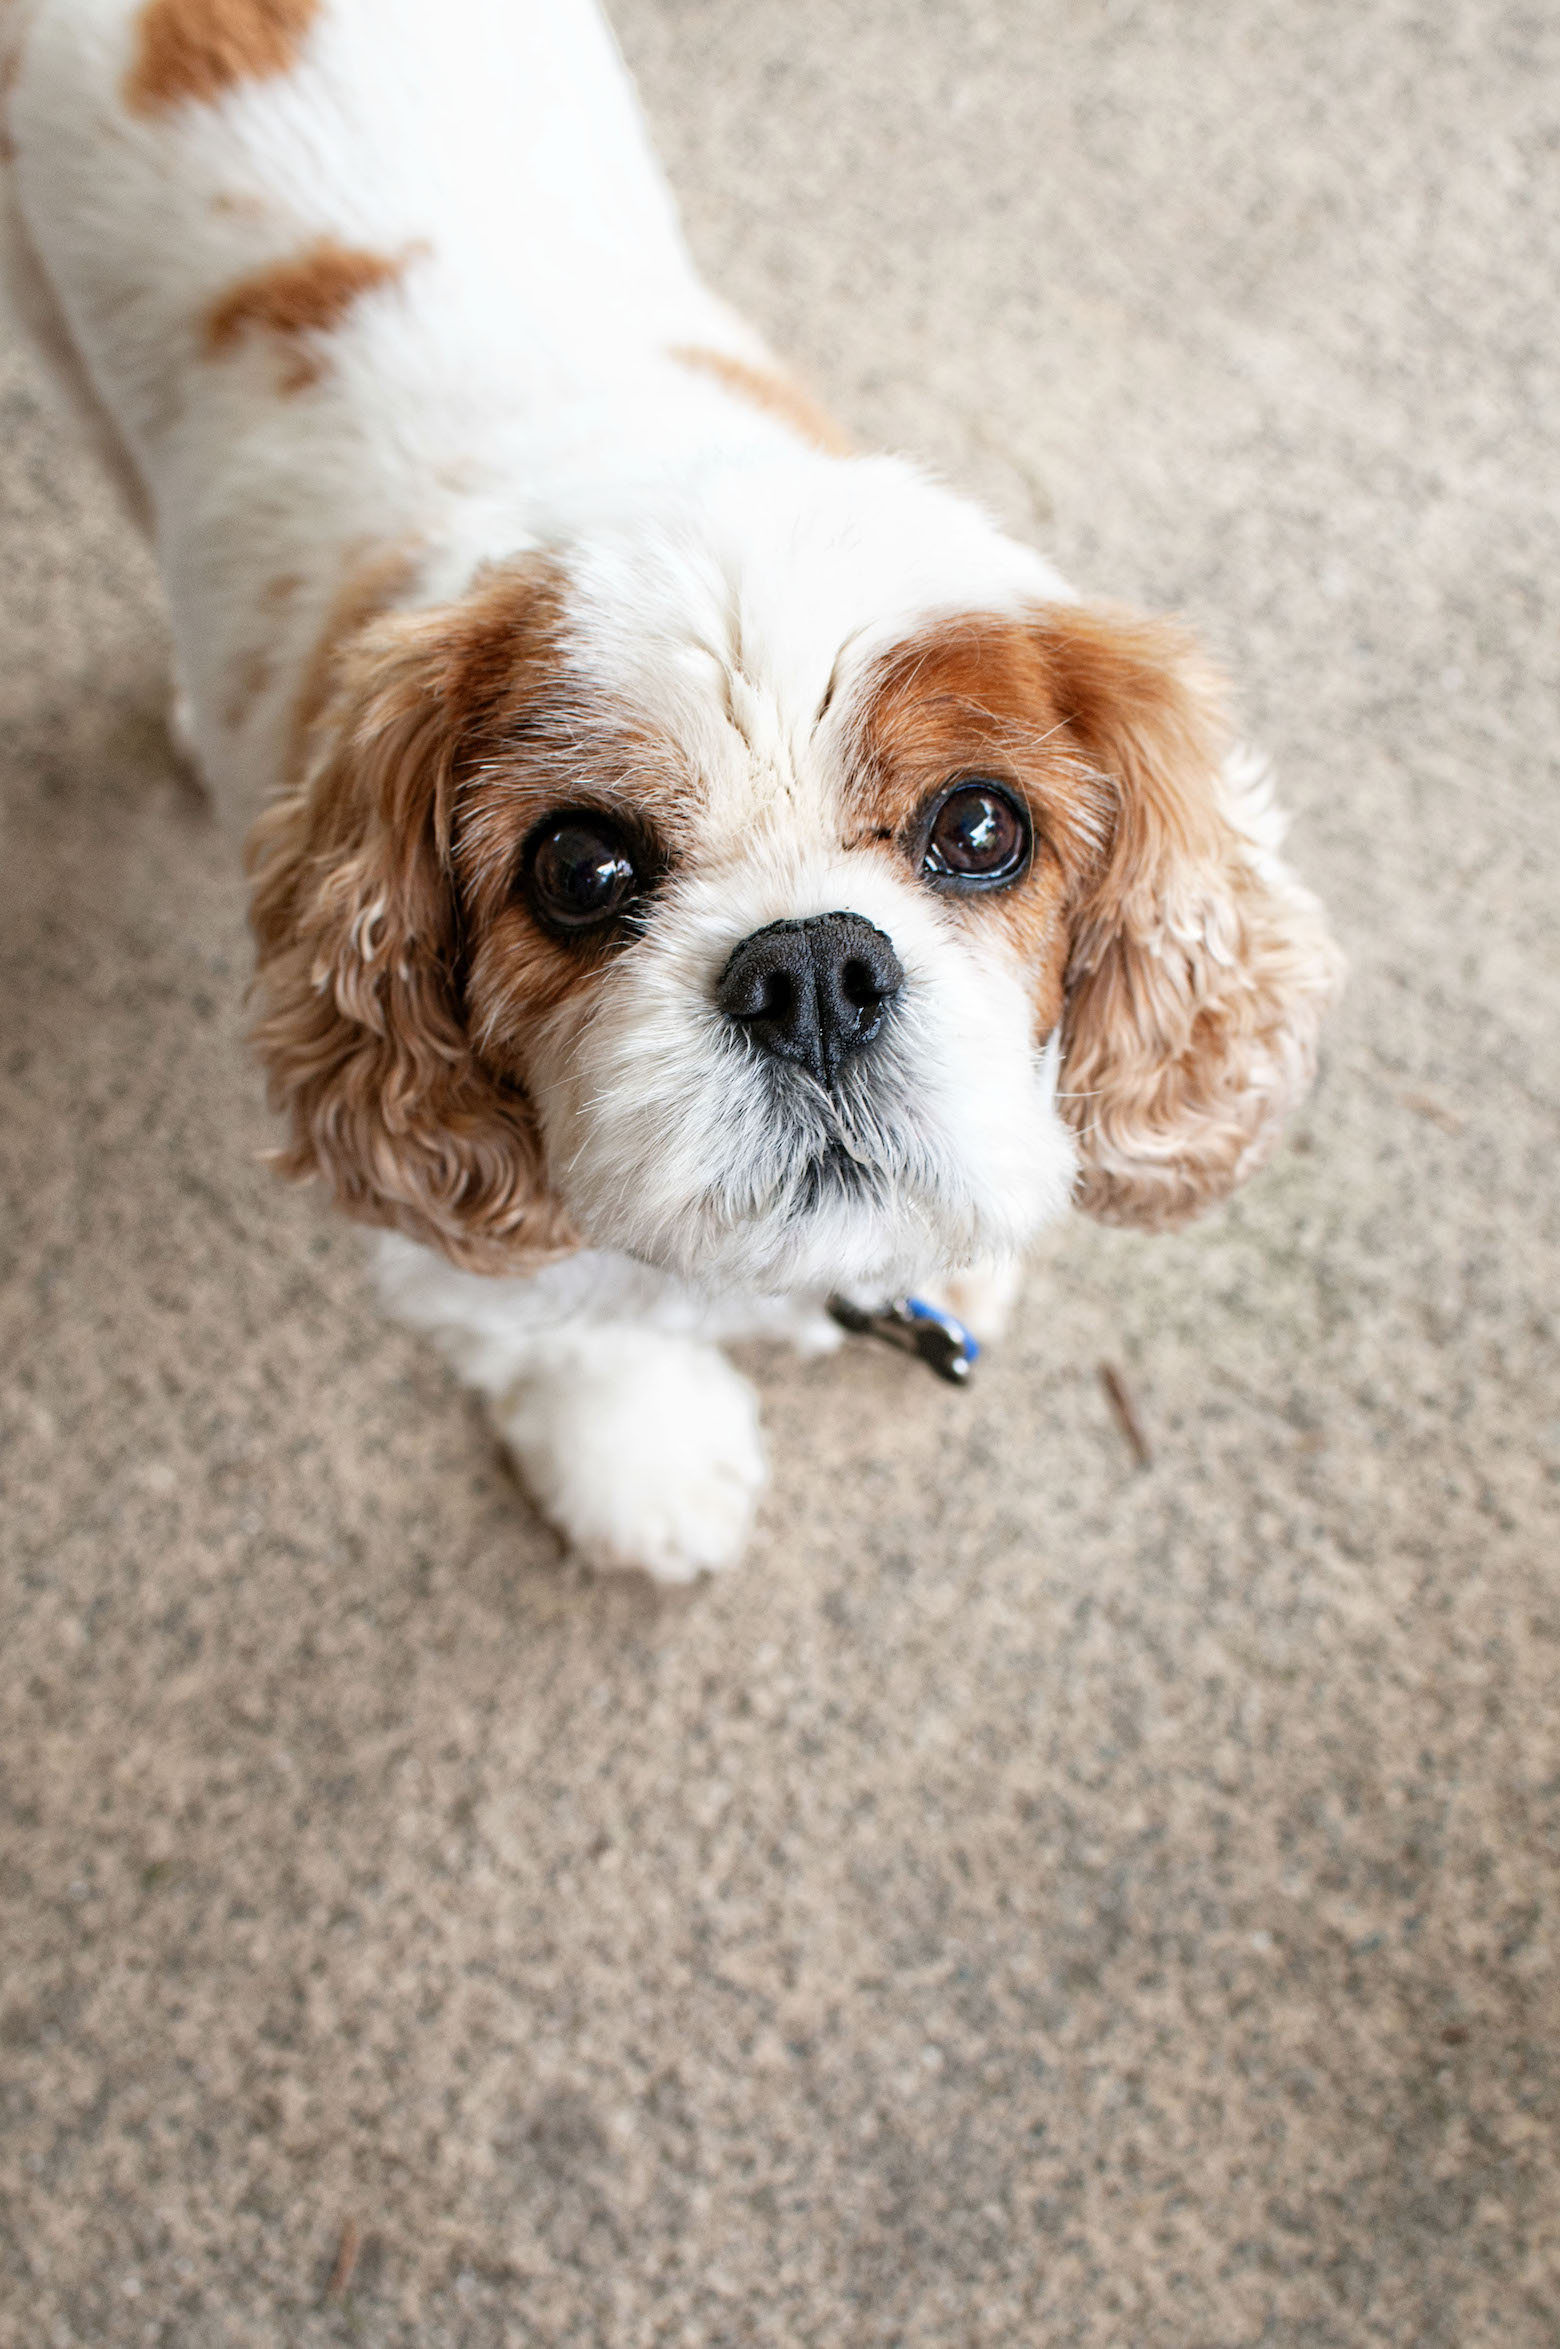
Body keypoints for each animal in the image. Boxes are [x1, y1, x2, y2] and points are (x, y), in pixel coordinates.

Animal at [0, 0, 1343, 1578]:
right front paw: (640, 1458)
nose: (813, 972)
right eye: (581, 868)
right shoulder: (465, 1247)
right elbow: (568, 1338)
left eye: (979, 825)